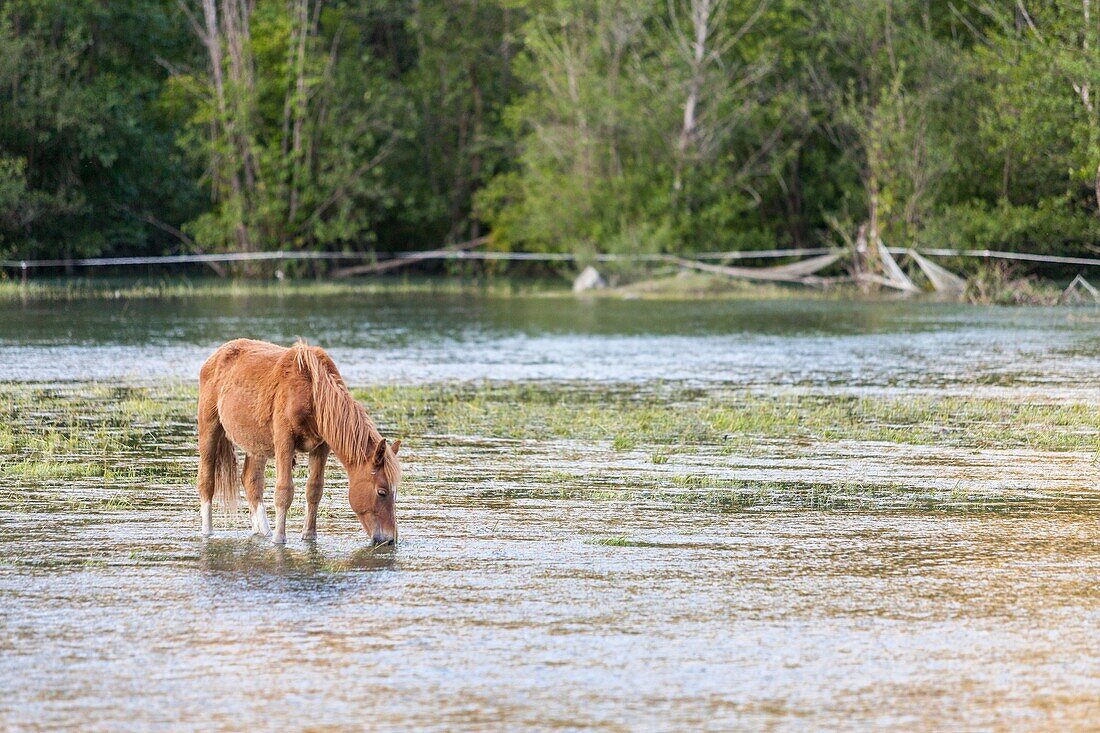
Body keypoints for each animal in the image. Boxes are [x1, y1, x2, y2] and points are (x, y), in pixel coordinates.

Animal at [195, 336, 402, 541]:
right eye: (382, 492)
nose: (389, 539)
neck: (312, 394)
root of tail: (216, 355)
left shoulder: (321, 447)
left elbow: (314, 489)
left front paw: (309, 535)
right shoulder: (285, 441)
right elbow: (284, 491)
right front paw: (279, 538)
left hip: (256, 444)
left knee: (251, 481)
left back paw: (263, 531)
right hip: (209, 428)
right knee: (207, 481)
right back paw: (207, 531)